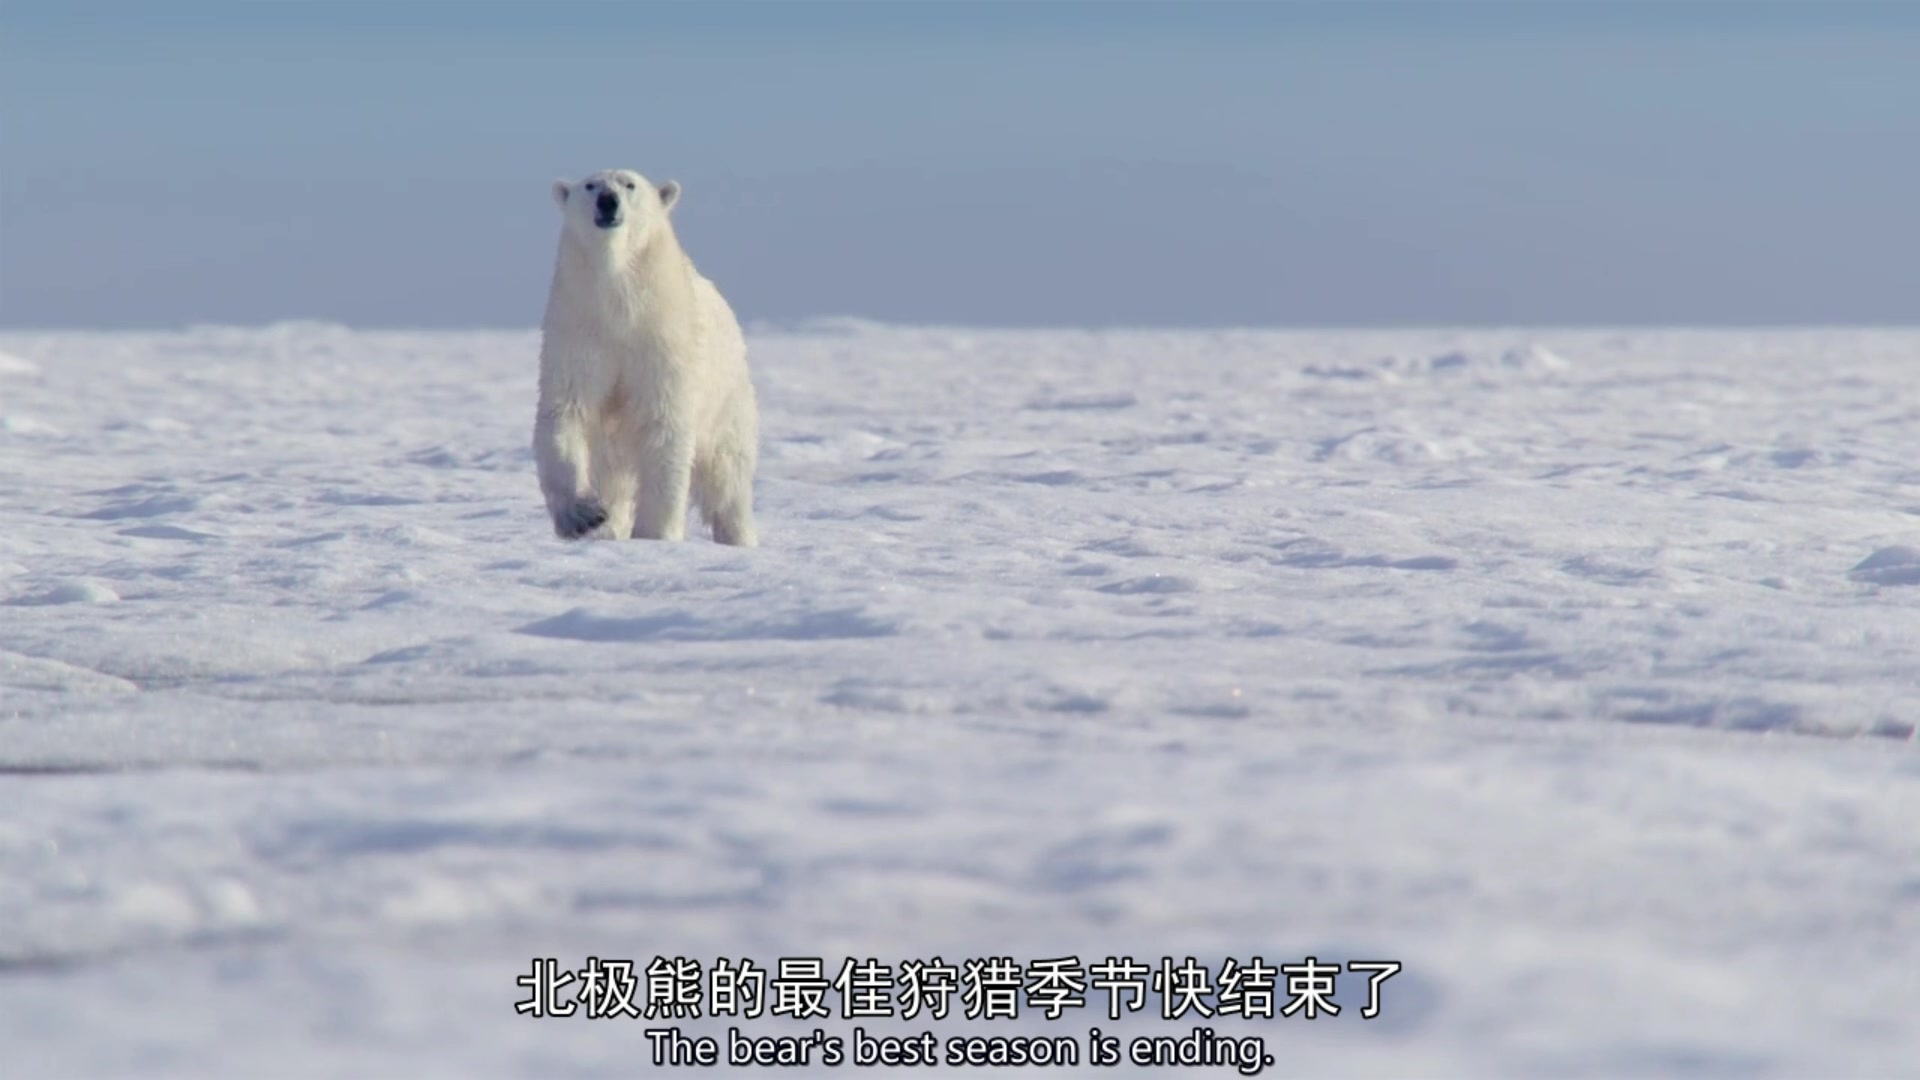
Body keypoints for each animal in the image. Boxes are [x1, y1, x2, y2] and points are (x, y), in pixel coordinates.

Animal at [537, 169, 760, 545]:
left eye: (630, 184)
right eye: (590, 186)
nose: (608, 201)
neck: (619, 304)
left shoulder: (661, 341)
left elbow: (664, 427)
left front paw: (654, 534)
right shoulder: (579, 330)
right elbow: (567, 411)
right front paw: (584, 517)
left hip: (726, 401)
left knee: (727, 479)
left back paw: (738, 537)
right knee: (612, 476)